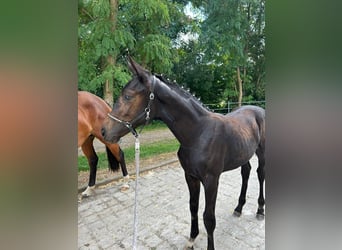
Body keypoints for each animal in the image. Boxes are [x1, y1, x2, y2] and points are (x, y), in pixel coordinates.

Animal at [100, 57, 266, 249]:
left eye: (128, 96)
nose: (104, 131)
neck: (198, 134)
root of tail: (259, 109)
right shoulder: (190, 176)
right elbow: (193, 207)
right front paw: (192, 238)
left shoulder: (211, 180)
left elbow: (209, 218)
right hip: (243, 153)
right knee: (246, 172)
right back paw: (239, 208)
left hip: (261, 152)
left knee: (260, 174)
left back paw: (260, 210)